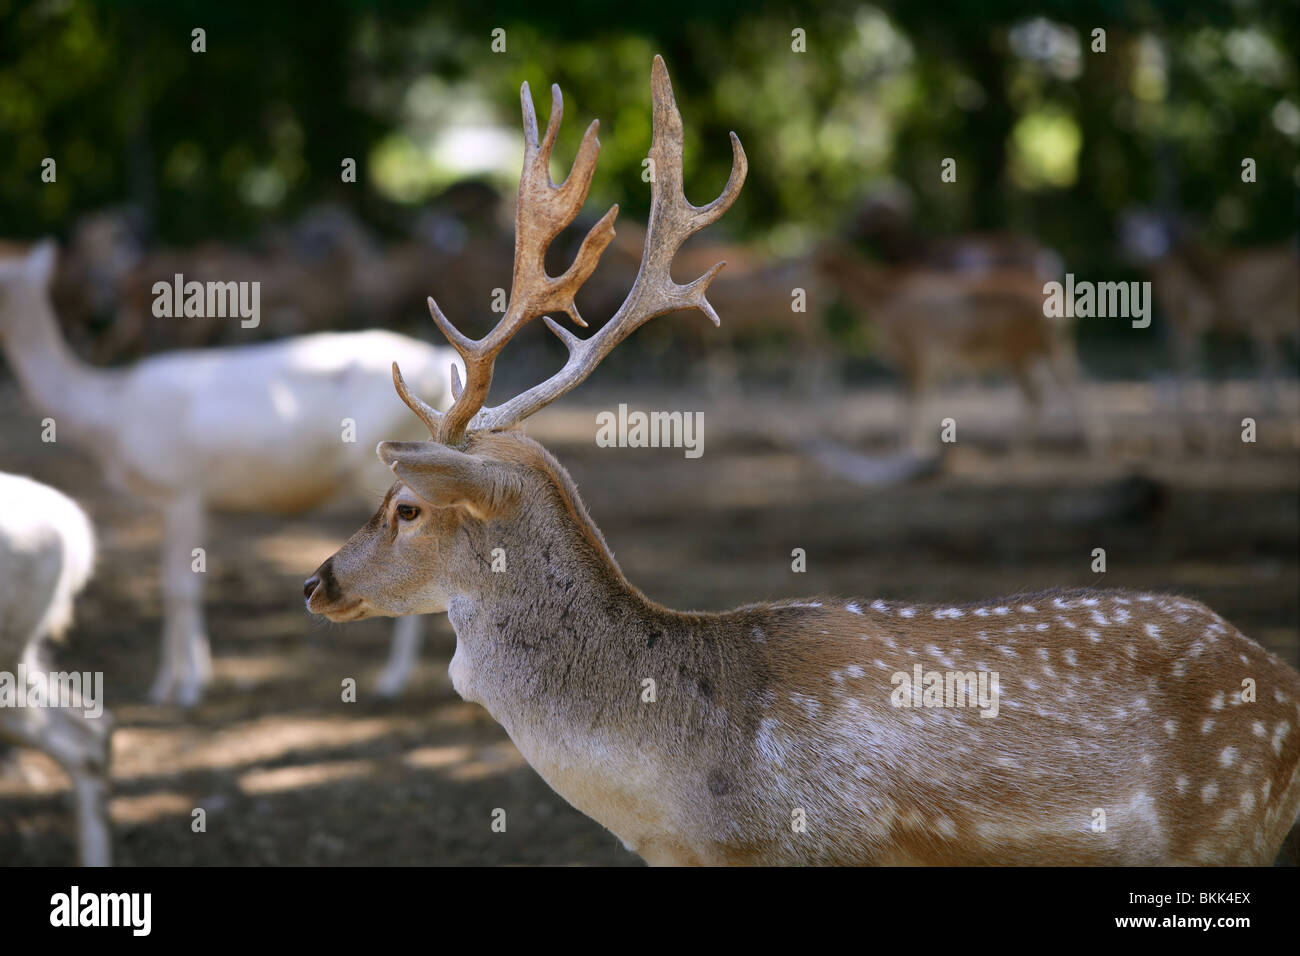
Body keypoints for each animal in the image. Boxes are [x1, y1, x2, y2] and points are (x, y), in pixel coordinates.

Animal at [0, 240, 465, 702]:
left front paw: (187, 688)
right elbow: (172, 584)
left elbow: (182, 587)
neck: (109, 415)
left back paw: (394, 679)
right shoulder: (172, 500)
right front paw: (171, 683)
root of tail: (441, 358)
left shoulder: (183, 488)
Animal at [301, 59, 1300, 868]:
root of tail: (1282, 682)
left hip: (1224, 823)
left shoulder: (834, 844)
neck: (693, 811)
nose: (317, 580)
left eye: (404, 505)